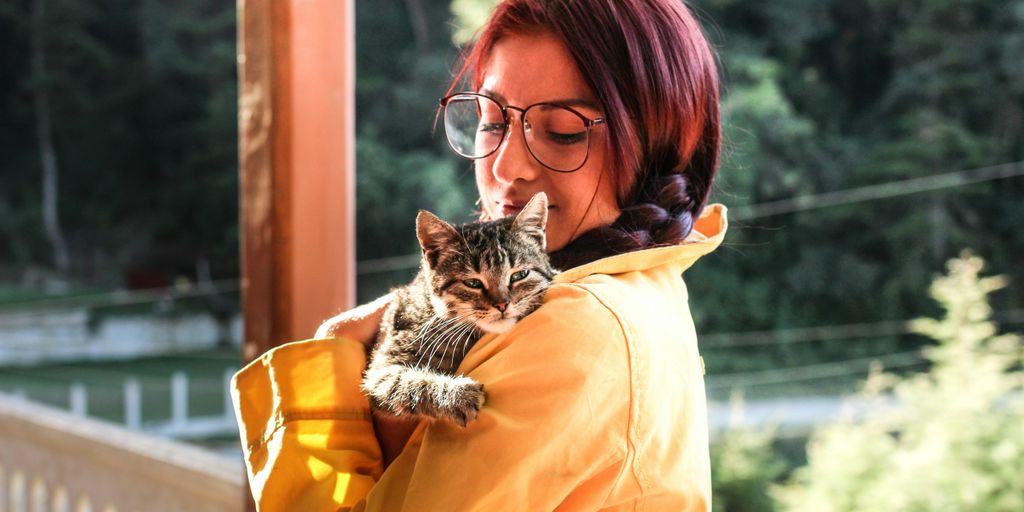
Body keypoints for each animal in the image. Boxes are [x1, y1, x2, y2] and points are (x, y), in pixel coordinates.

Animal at [362, 191, 557, 423]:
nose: (502, 304)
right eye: (472, 283)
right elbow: (411, 383)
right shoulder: (381, 370)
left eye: (520, 275)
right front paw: (456, 395)